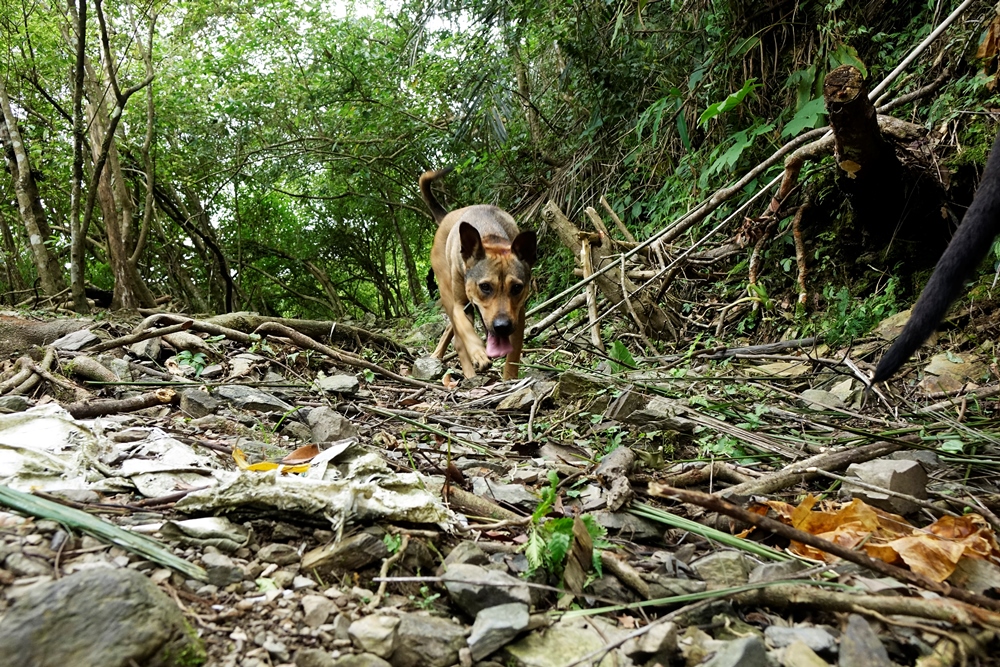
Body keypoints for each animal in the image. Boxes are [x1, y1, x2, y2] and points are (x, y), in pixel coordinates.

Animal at [418, 171, 536, 380]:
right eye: (485, 287)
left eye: (517, 287)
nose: (502, 326)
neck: (491, 237)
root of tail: (448, 215)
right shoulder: (459, 306)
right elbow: (466, 331)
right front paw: (479, 353)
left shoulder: (519, 314)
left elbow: (513, 353)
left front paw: (510, 379)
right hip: (446, 291)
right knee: (458, 339)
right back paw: (468, 372)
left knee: (450, 331)